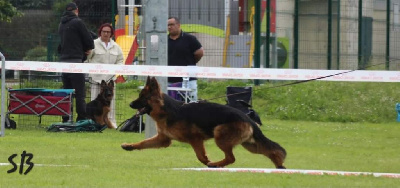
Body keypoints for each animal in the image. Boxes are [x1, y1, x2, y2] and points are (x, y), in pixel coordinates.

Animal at [120, 77, 286, 168]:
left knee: (231, 158)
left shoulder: (195, 139)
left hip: (220, 135)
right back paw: (280, 166)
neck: (166, 110)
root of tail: (248, 118)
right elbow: (143, 143)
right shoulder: (163, 140)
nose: (130, 104)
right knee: (271, 151)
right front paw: (129, 146)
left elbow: (200, 156)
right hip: (250, 145)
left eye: (143, 97)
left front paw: (207, 162)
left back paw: (216, 164)